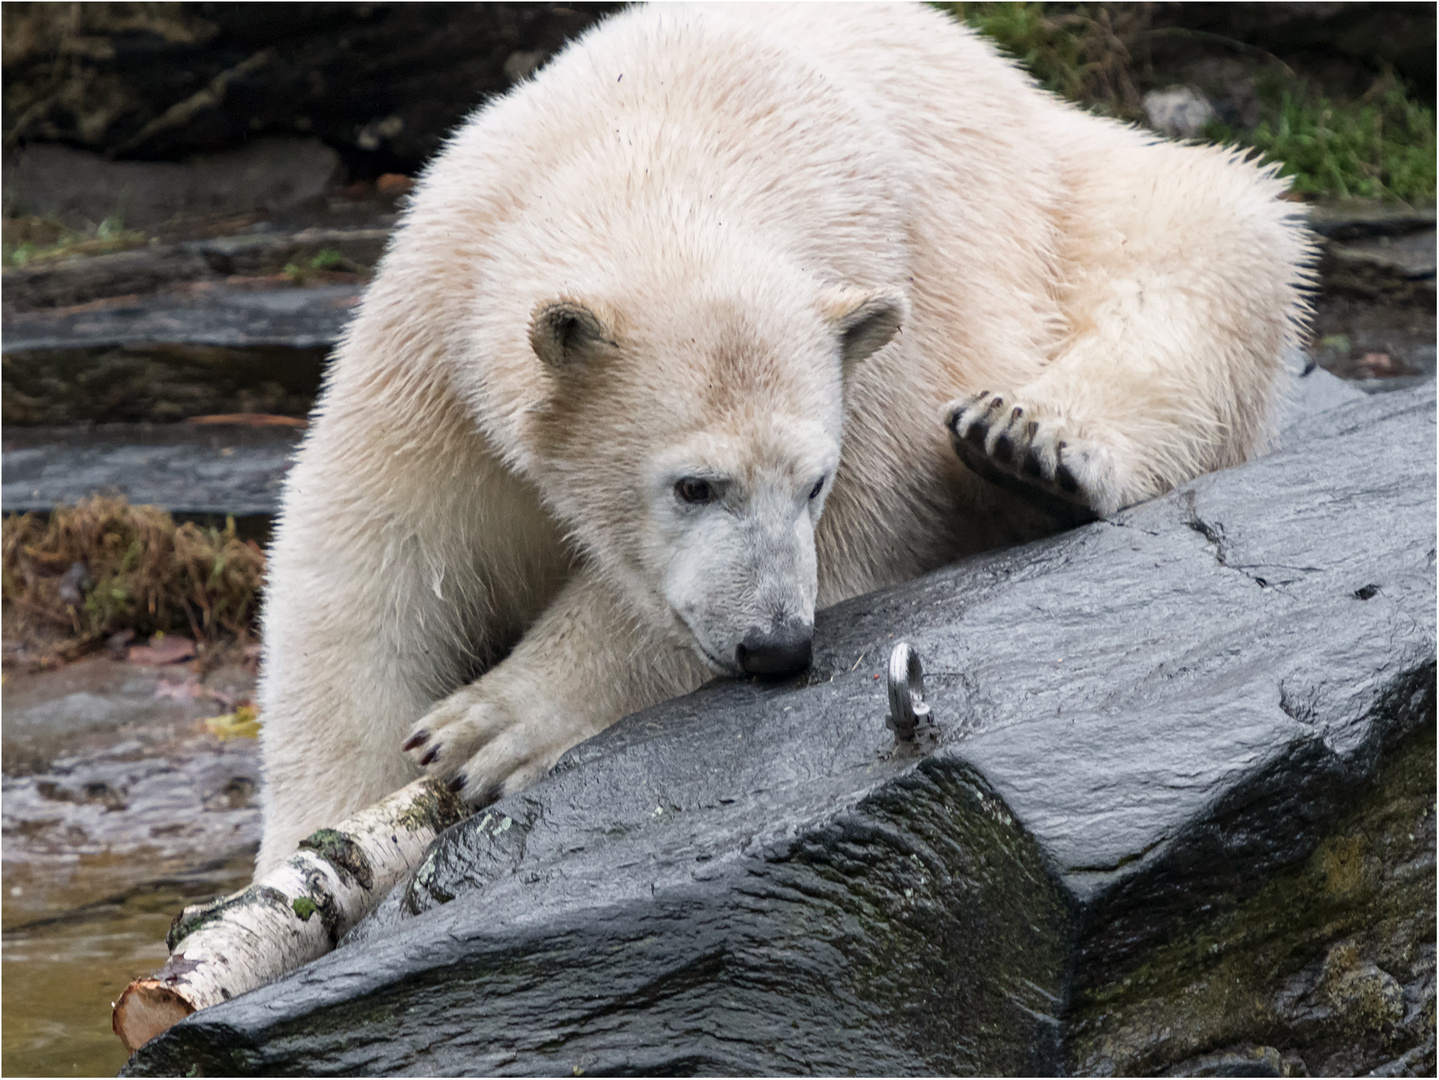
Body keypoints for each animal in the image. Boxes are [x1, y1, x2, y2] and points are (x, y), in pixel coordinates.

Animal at [253, 2, 1312, 880]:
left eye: (813, 482)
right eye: (693, 485)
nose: (776, 646)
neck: (660, 145)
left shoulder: (882, 340)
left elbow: (842, 544)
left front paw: (491, 727)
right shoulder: (436, 338)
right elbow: (374, 564)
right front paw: (314, 843)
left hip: (1078, 197)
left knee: (1210, 242)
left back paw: (1025, 444)